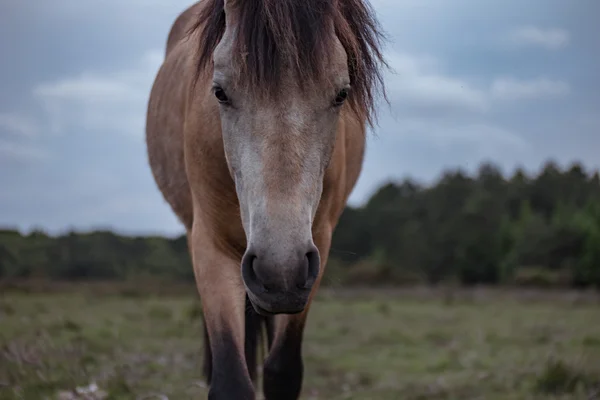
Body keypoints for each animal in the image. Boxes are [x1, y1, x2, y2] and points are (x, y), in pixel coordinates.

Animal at [147, 0, 386, 398]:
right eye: (219, 92)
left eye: (341, 93)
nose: (280, 269)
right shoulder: (210, 245)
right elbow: (230, 380)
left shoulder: (316, 246)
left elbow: (282, 371)